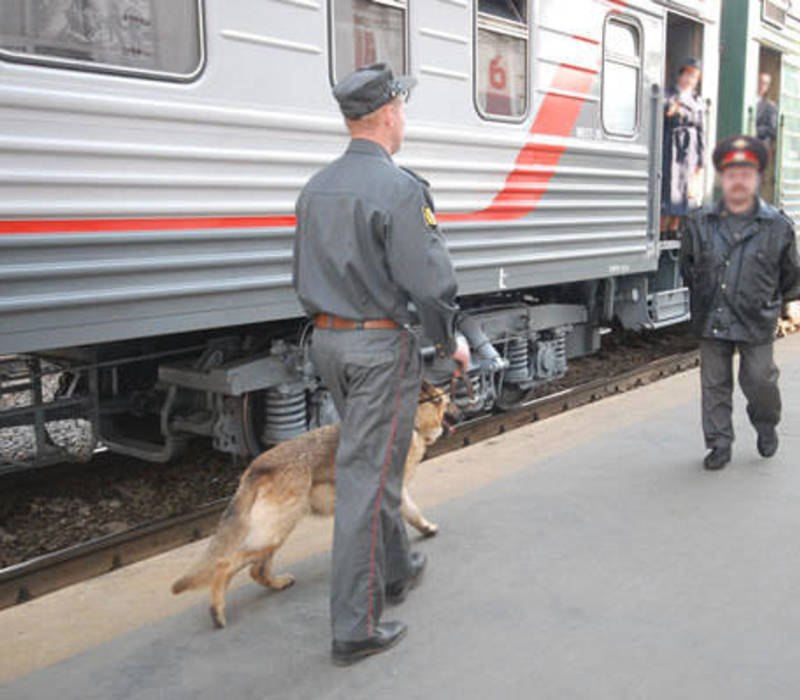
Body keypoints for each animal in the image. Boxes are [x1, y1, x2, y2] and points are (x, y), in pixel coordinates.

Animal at [172, 382, 454, 628]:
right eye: (447, 402)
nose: (462, 406)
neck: (414, 421)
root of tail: (256, 467)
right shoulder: (397, 492)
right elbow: (412, 512)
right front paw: (425, 531)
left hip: (275, 532)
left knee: (257, 571)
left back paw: (277, 583)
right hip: (273, 533)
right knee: (225, 565)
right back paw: (217, 610)